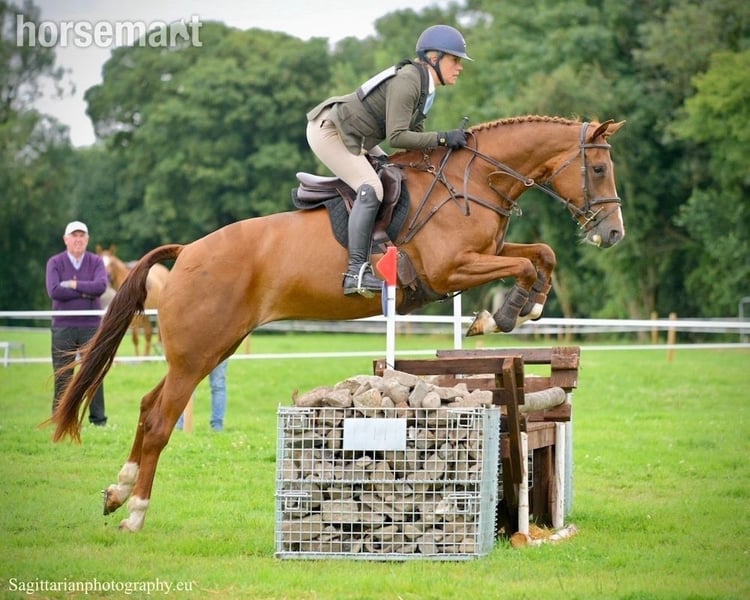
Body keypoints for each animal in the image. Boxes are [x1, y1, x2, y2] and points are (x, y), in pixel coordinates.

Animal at [52, 115, 625, 532]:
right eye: (598, 170)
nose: (613, 233)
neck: (474, 180)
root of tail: (187, 252)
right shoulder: (451, 269)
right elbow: (527, 264)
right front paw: (501, 315)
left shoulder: (484, 255)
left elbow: (541, 254)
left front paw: (520, 309)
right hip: (198, 353)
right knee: (159, 421)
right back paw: (135, 513)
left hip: (211, 348)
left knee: (148, 406)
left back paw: (116, 492)